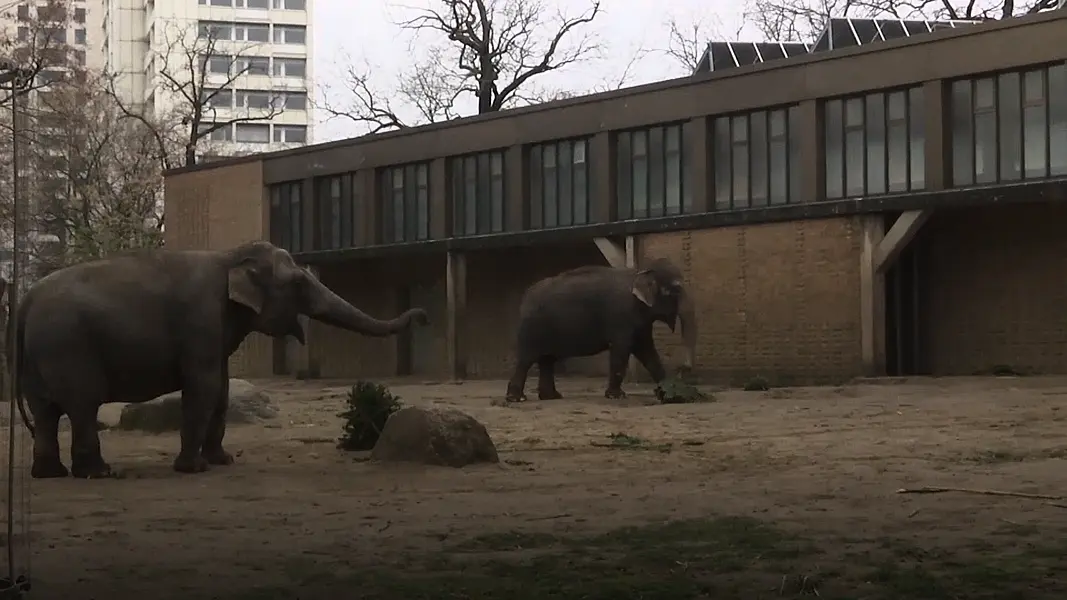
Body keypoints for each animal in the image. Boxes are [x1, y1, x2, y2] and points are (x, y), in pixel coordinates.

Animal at [11, 238, 428, 476]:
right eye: (298, 282)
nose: (424, 315)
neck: (230, 257)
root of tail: (25, 301)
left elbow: (222, 389)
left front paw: (222, 462)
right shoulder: (202, 318)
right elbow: (204, 386)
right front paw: (193, 469)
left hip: (39, 355)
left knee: (46, 412)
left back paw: (50, 474)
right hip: (67, 346)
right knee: (82, 405)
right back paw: (99, 473)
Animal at [503, 257, 695, 401]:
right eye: (677, 290)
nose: (684, 368)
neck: (639, 271)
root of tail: (524, 298)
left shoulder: (640, 321)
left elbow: (647, 351)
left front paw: (669, 393)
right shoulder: (620, 317)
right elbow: (621, 349)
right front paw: (616, 396)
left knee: (547, 360)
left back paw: (552, 397)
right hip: (532, 329)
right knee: (527, 359)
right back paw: (517, 398)